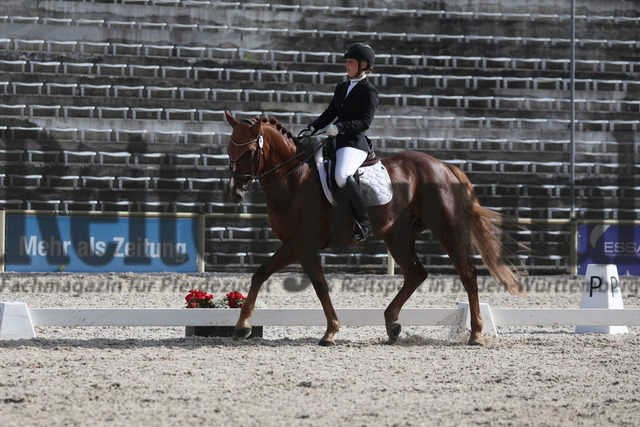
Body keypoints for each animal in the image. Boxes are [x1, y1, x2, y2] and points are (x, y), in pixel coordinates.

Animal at [225, 111, 524, 348]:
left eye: (249, 152)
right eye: (229, 151)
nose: (236, 194)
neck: (293, 180)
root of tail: (444, 166)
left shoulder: (299, 244)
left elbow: (263, 273)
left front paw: (242, 326)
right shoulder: (303, 248)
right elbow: (318, 286)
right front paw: (330, 331)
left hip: (445, 228)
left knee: (467, 273)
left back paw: (475, 334)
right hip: (398, 236)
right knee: (416, 273)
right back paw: (392, 325)